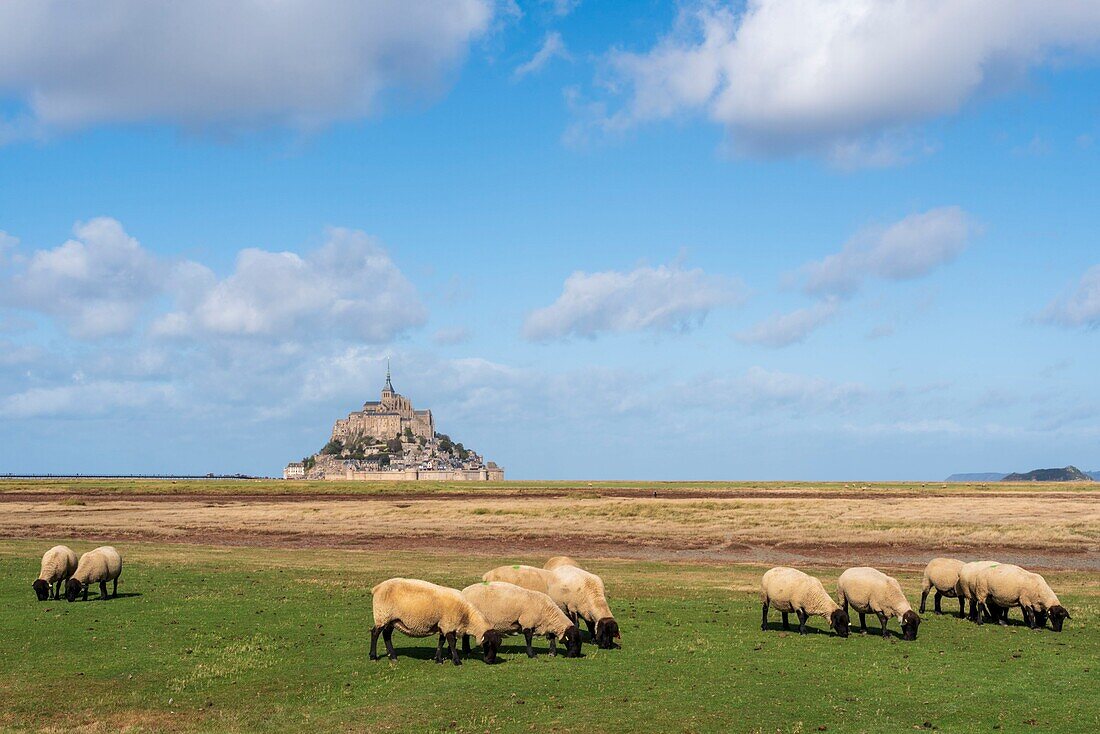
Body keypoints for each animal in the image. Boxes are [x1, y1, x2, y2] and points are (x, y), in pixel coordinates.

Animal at [371, 581, 503, 664]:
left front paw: (438, 659)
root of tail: (377, 587)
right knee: (375, 633)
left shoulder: (443, 624)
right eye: (487, 644)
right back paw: (373, 656)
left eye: (497, 645)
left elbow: (442, 641)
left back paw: (393, 657)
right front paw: (457, 661)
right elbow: (451, 642)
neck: (466, 615)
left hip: (392, 619)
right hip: (382, 615)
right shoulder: (448, 624)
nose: (490, 661)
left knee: (386, 635)